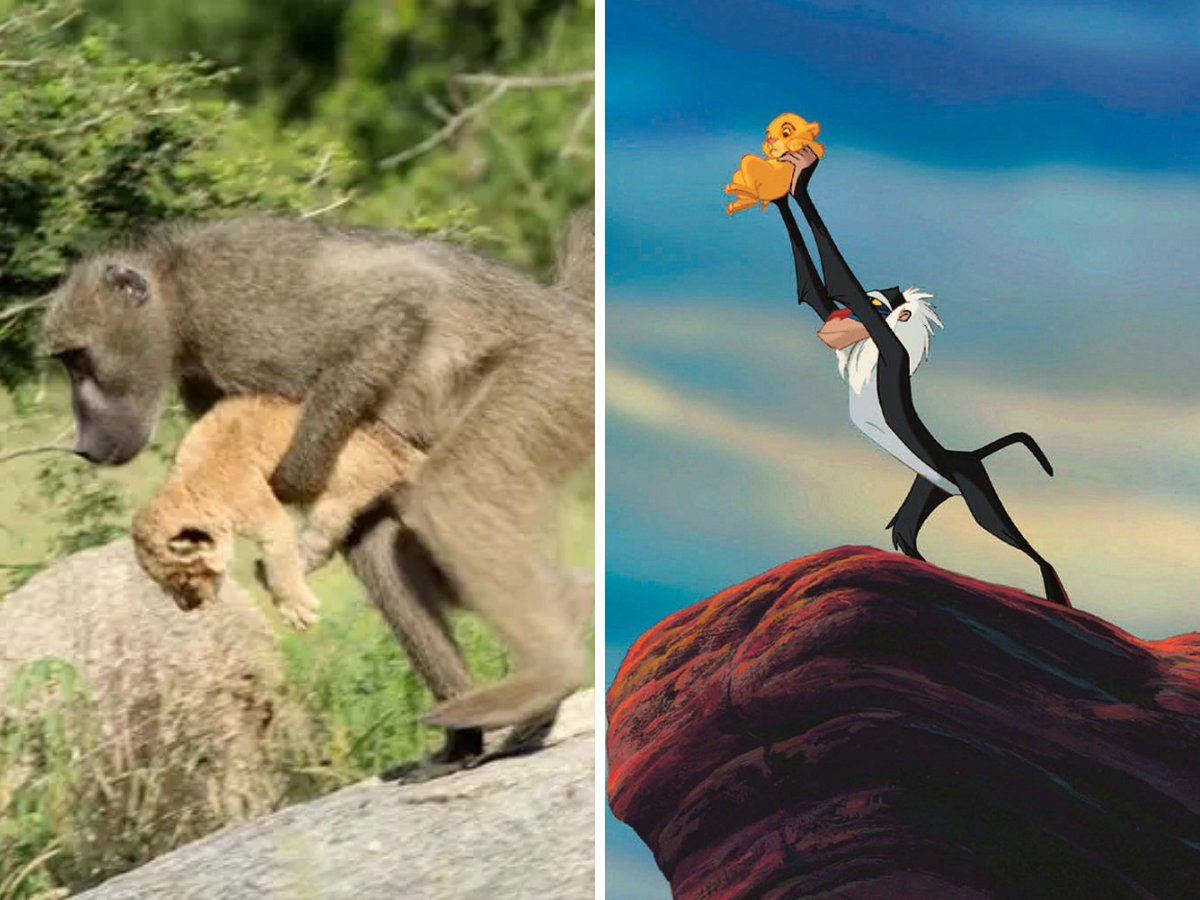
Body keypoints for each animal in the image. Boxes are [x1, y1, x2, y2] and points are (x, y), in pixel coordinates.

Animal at [131, 394, 424, 630]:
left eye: (183, 580)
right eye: (164, 586)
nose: (188, 608)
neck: (191, 486)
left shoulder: (269, 518)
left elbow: (281, 564)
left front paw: (297, 611)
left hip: (337, 494)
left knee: (317, 544)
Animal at [771, 148, 1069, 607]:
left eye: (878, 303)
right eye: (844, 316)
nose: (837, 324)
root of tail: (965, 454)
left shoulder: (889, 346)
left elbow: (839, 277)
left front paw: (802, 178)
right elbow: (815, 291)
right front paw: (779, 191)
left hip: (972, 487)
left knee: (1017, 540)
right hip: (931, 485)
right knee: (905, 532)